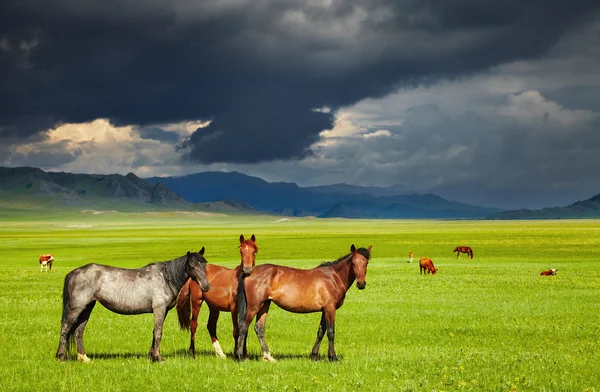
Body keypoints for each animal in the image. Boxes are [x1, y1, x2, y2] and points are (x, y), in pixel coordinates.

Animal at [55, 248, 211, 362]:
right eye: (192, 266)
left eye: (205, 265)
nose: (206, 286)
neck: (166, 278)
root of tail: (74, 272)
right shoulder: (159, 309)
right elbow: (158, 333)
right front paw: (159, 357)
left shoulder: (163, 311)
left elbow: (154, 332)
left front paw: (152, 356)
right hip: (77, 308)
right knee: (65, 328)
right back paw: (61, 357)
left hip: (87, 307)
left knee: (78, 331)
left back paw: (84, 358)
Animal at [234, 245, 370, 362]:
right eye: (353, 263)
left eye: (366, 262)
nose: (361, 284)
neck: (333, 277)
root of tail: (249, 272)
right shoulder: (330, 309)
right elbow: (331, 332)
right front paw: (333, 357)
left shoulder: (324, 310)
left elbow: (321, 332)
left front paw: (314, 356)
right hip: (254, 306)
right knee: (243, 327)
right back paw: (240, 357)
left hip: (265, 305)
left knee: (259, 328)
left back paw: (268, 357)